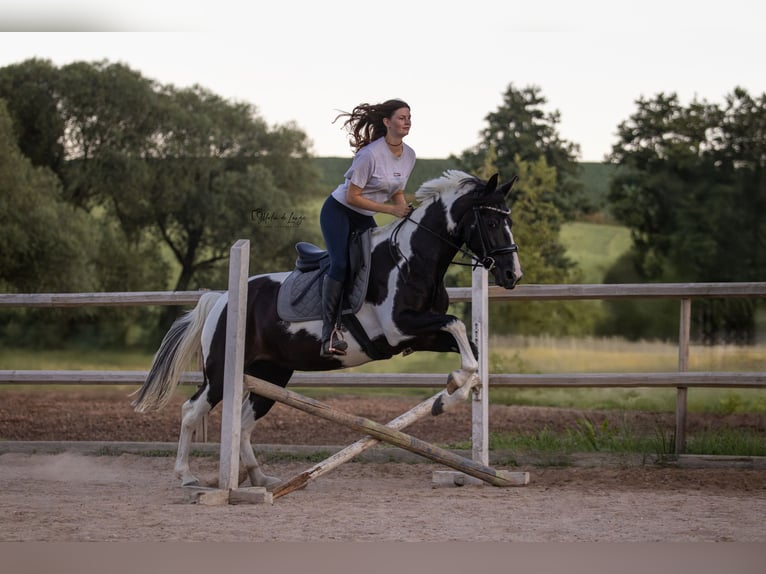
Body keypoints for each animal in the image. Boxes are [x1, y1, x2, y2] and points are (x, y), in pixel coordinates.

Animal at [131, 170, 523, 487]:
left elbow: (470, 350)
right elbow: (457, 326)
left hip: (272, 374)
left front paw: (450, 393)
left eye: (509, 221)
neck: (411, 259)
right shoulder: (399, 328)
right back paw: (186, 476)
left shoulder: (420, 335)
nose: (512, 276)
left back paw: (259, 478)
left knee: (244, 421)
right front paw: (450, 392)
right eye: (490, 223)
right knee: (192, 410)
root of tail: (221, 298)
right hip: (222, 373)